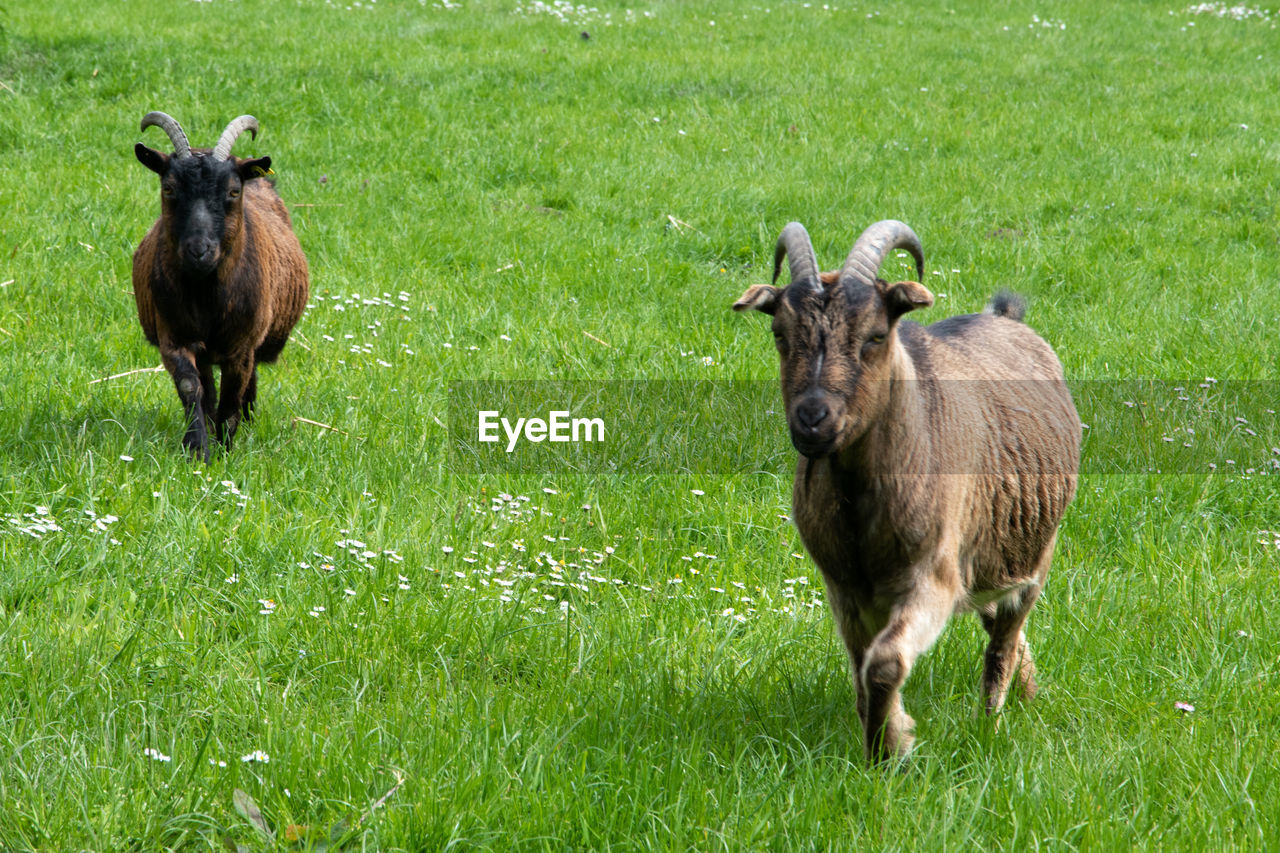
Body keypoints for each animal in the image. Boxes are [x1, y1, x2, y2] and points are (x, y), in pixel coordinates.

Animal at [132, 112, 309, 461]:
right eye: (168, 188)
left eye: (233, 192)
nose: (199, 251)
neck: (206, 296)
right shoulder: (174, 336)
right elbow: (193, 389)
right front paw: (198, 448)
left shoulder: (241, 346)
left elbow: (232, 398)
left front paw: (226, 452)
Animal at [732, 217, 1080, 758]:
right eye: (779, 333)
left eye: (876, 335)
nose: (812, 420)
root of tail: (1006, 319)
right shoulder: (845, 590)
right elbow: (862, 669)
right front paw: (882, 740)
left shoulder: (932, 576)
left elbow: (884, 663)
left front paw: (891, 749)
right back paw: (1029, 691)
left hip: (1036, 556)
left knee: (1003, 638)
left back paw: (991, 722)